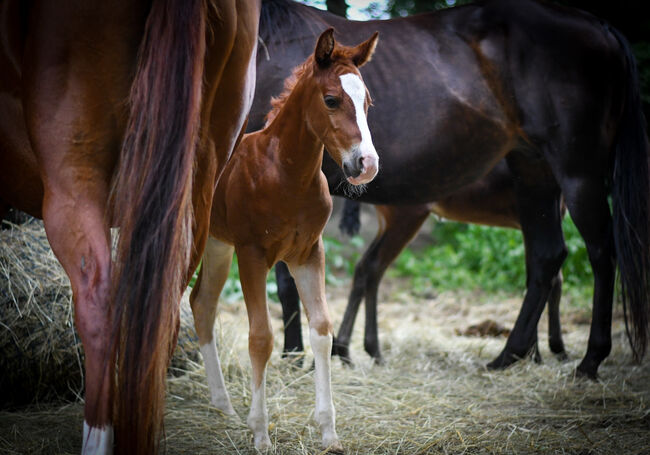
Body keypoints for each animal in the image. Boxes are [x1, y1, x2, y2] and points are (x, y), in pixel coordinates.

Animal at [187, 29, 380, 452]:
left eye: (367, 102)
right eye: (331, 99)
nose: (367, 164)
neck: (285, 174)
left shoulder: (308, 253)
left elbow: (321, 330)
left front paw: (328, 431)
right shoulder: (253, 255)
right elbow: (261, 337)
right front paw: (260, 432)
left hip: (217, 245)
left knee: (202, 303)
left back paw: (223, 404)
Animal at [253, 0, 648, 380]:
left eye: (367, 102)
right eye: (331, 100)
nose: (367, 163)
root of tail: (603, 27)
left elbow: (287, 281)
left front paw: (293, 357)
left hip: (579, 173)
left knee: (600, 253)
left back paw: (589, 359)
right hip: (533, 172)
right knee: (547, 256)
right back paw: (509, 354)